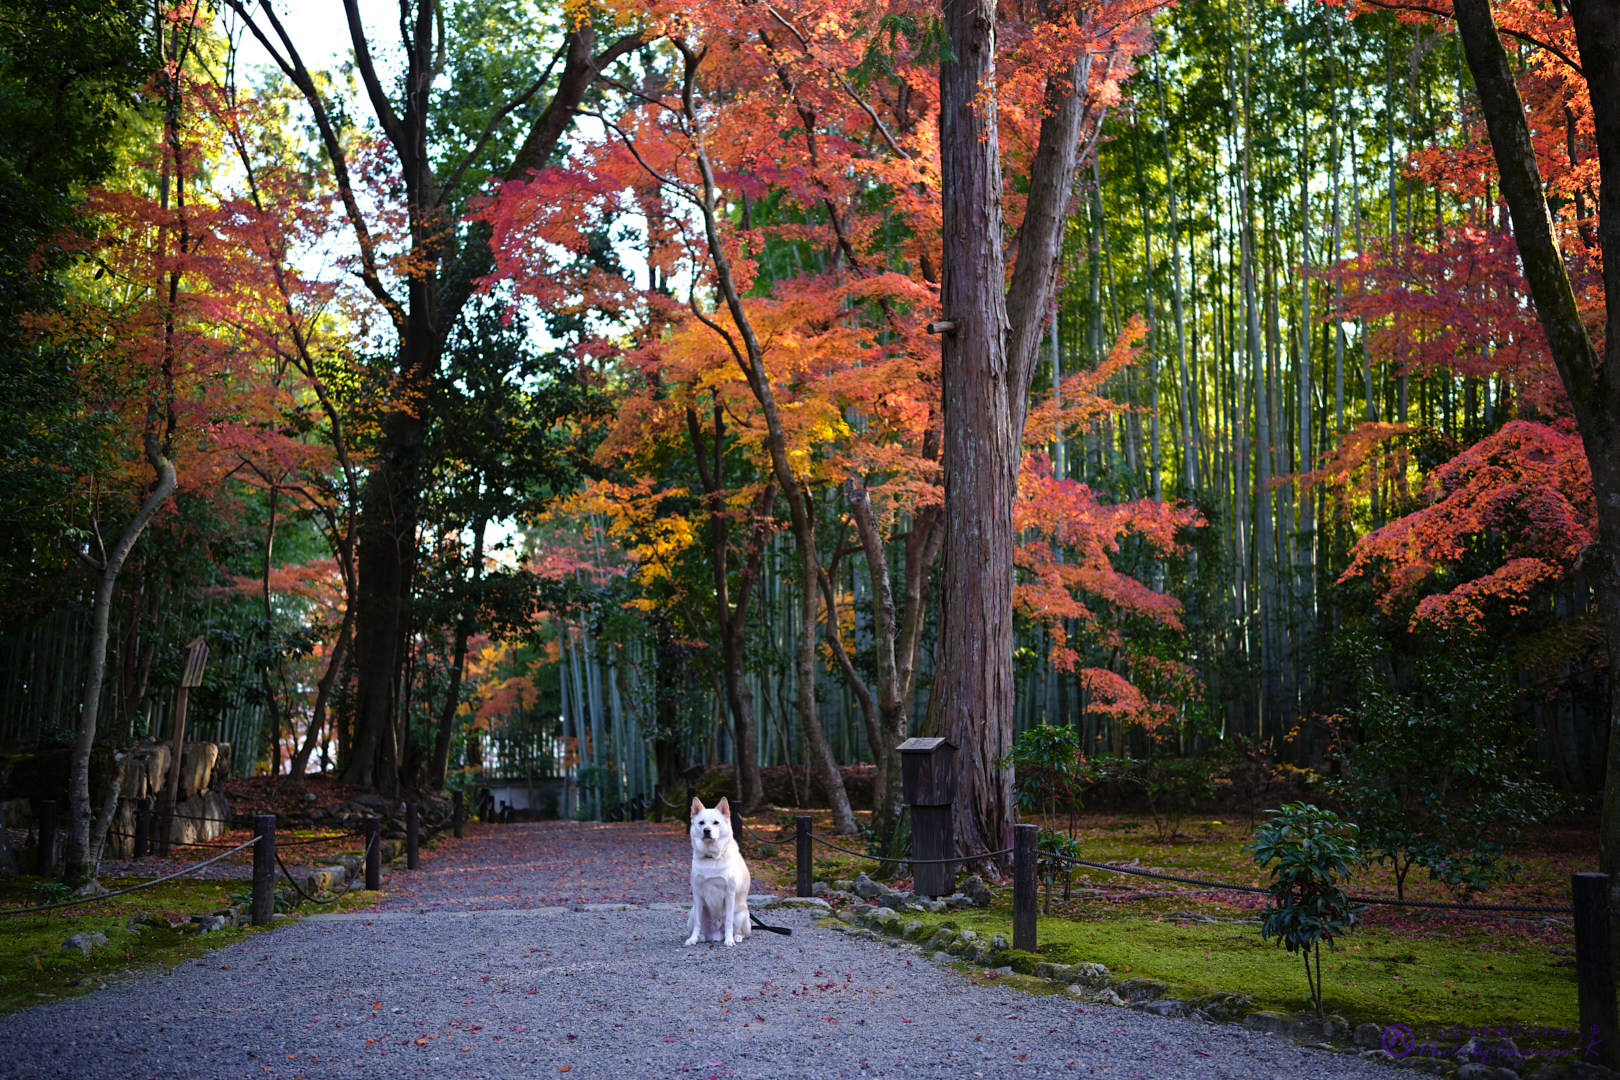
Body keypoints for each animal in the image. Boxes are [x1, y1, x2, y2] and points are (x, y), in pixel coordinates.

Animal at [690, 793, 751, 945]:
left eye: (716, 823)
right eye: (701, 823)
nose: (706, 830)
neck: (711, 857)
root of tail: (717, 933)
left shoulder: (729, 894)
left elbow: (729, 922)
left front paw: (729, 941)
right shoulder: (697, 894)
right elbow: (697, 924)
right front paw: (693, 938)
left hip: (741, 915)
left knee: (742, 932)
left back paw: (736, 937)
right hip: (692, 912)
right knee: (700, 927)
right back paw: (700, 937)